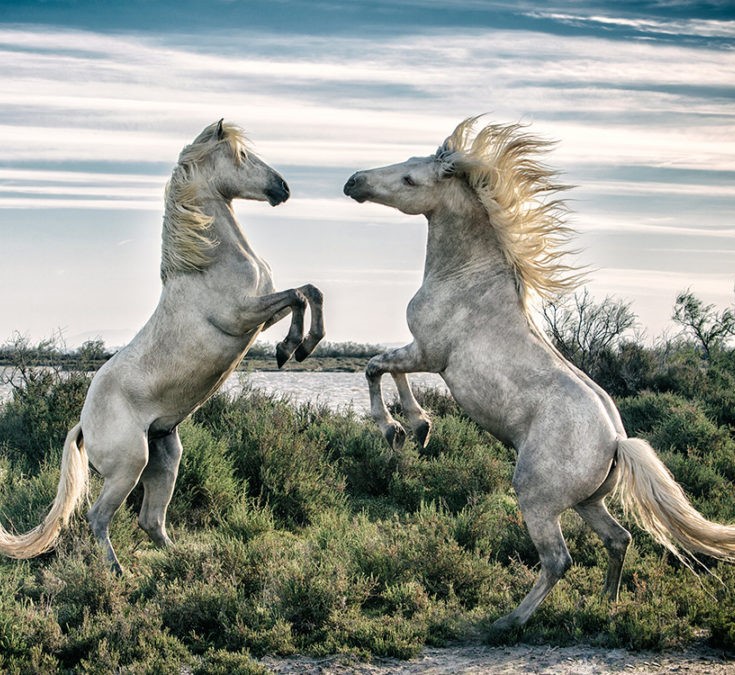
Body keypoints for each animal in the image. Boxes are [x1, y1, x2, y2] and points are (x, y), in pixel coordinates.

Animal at [0, 120, 324, 572]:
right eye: (242, 156)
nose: (283, 188)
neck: (206, 262)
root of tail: (83, 424)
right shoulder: (241, 315)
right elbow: (298, 294)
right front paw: (293, 348)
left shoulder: (260, 318)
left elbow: (307, 293)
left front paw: (297, 346)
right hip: (129, 466)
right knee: (97, 516)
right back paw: (117, 571)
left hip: (165, 457)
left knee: (150, 519)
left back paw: (181, 559)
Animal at [344, 117, 735, 632]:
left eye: (410, 179)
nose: (353, 182)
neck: (468, 279)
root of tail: (616, 441)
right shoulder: (421, 353)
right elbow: (382, 369)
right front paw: (418, 428)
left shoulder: (428, 353)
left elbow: (375, 367)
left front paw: (402, 428)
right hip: (589, 502)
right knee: (619, 539)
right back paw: (605, 605)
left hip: (537, 499)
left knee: (558, 560)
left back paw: (508, 621)